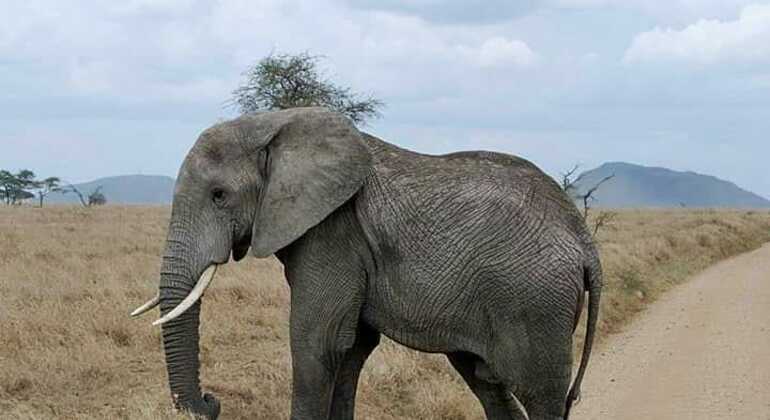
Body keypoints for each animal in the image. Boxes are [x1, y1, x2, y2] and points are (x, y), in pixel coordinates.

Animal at [130, 106, 600, 418]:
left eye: (219, 195)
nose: (211, 402)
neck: (276, 123)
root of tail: (584, 241)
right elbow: (350, 348)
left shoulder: (332, 234)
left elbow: (316, 344)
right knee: (488, 384)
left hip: (536, 306)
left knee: (540, 396)